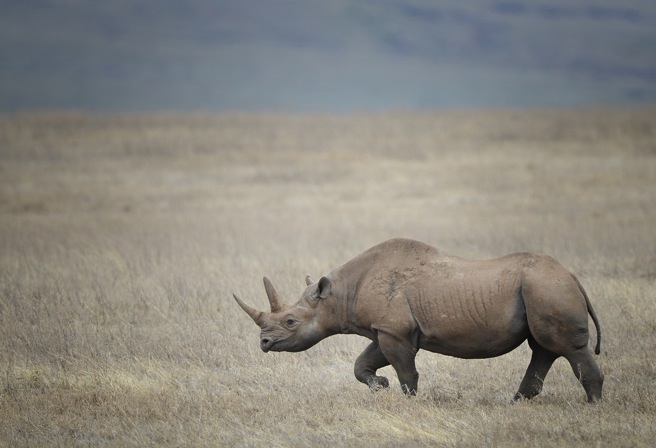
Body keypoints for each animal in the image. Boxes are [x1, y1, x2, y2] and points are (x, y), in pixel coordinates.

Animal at [234, 238, 603, 402]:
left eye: (291, 322)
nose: (264, 343)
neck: (338, 294)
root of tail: (571, 276)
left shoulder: (395, 331)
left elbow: (405, 370)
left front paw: (408, 399)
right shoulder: (385, 329)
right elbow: (362, 363)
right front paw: (380, 385)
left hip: (546, 288)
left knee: (566, 348)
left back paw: (592, 405)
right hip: (542, 289)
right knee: (543, 348)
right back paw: (515, 403)